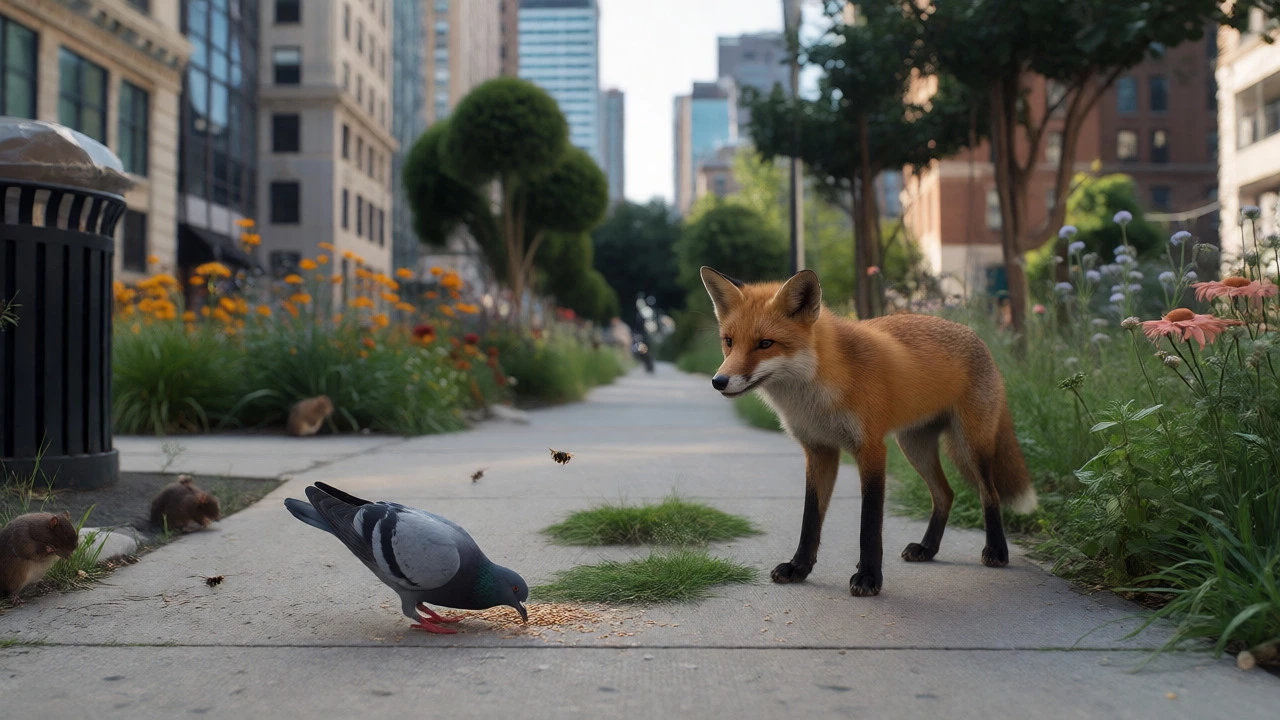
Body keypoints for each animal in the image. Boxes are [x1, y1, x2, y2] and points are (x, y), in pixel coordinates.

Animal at [700, 266, 1037, 597]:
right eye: (729, 341)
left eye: (765, 344)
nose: (718, 381)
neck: (821, 388)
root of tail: (977, 337)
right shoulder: (819, 450)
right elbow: (810, 519)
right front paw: (799, 568)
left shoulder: (871, 449)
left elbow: (869, 525)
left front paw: (869, 578)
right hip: (914, 447)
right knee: (945, 494)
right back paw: (927, 548)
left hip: (970, 445)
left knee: (988, 492)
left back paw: (997, 550)